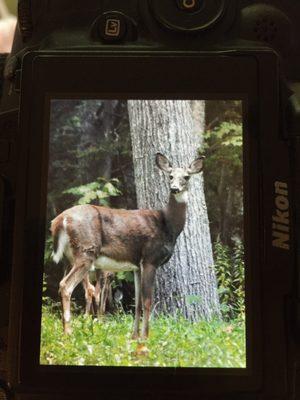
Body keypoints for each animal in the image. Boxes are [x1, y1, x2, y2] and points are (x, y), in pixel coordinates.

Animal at [51, 153, 205, 338]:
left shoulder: (136, 266)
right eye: (170, 175)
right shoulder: (149, 259)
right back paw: (68, 333)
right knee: (66, 286)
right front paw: (145, 337)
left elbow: (137, 303)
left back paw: (65, 330)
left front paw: (134, 336)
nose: (174, 188)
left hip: (68, 258)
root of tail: (60, 220)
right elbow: (147, 301)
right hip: (86, 251)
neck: (167, 225)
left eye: (186, 176)